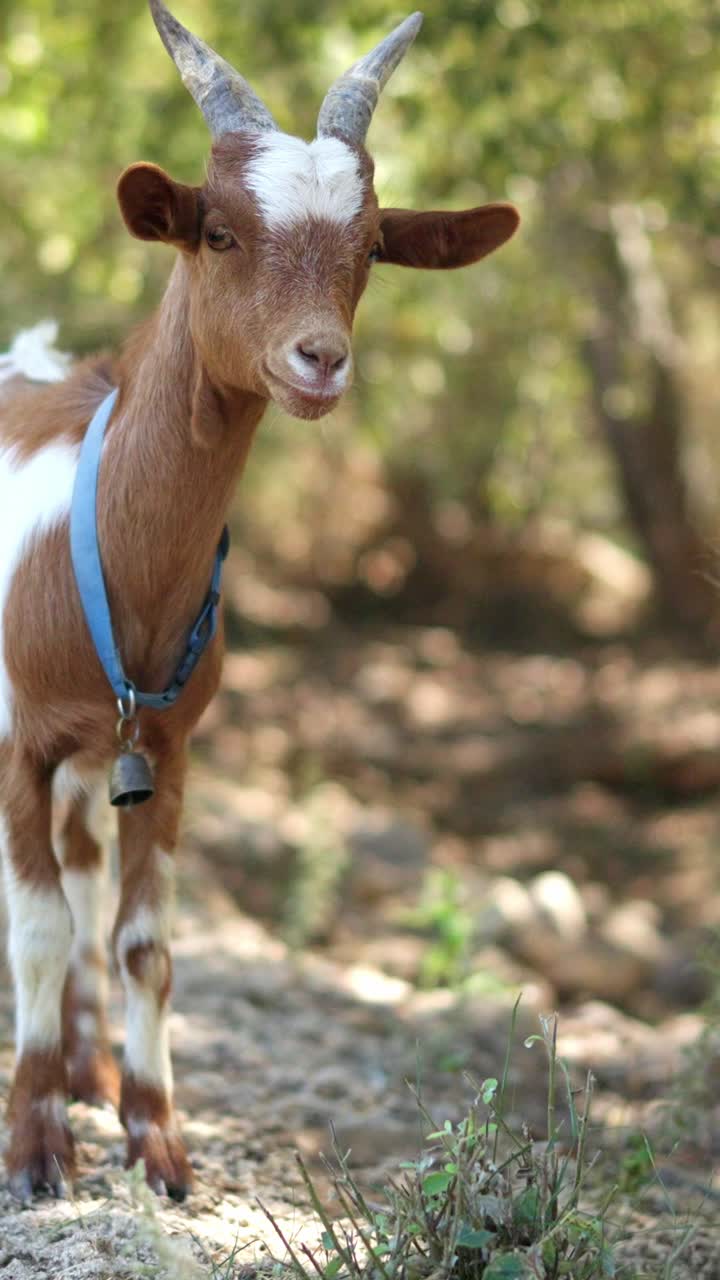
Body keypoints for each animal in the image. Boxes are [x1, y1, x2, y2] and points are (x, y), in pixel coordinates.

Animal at [0, 0, 518, 1203]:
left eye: (371, 246)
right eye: (220, 233)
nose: (318, 359)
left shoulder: (167, 749)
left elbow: (141, 942)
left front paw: (155, 1140)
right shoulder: (19, 739)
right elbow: (35, 931)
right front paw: (35, 1148)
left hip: (103, 763)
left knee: (89, 880)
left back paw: (89, 1064)